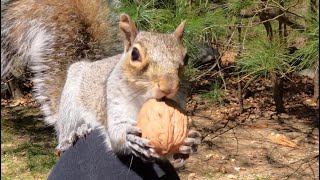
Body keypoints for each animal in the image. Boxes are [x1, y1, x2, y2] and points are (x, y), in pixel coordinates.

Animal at [0, 0, 200, 163]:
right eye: (134, 54)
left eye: (186, 57)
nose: (169, 86)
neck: (143, 101)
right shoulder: (113, 100)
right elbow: (114, 134)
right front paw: (128, 138)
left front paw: (191, 141)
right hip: (70, 105)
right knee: (66, 129)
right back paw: (74, 134)